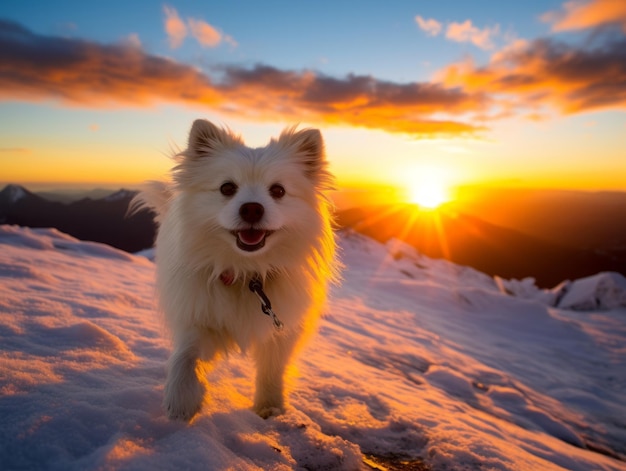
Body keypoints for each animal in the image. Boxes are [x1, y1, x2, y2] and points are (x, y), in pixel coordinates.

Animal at [132, 118, 336, 420]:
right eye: (227, 188)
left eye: (278, 190)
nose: (252, 209)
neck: (247, 273)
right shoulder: (199, 315)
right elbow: (185, 355)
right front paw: (181, 399)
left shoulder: (282, 331)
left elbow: (272, 369)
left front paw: (270, 406)